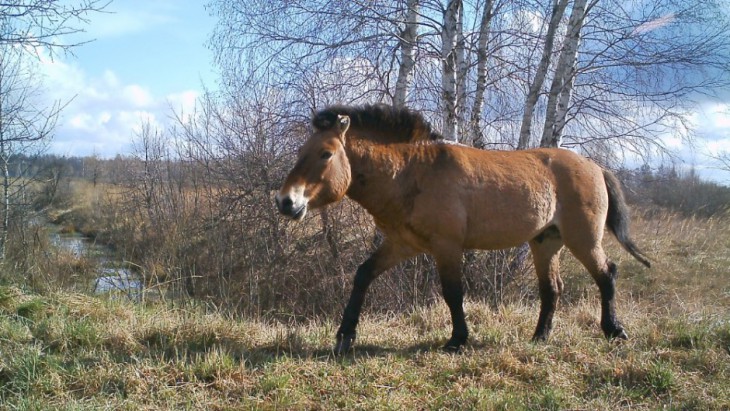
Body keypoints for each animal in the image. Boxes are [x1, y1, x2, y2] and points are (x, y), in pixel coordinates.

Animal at [274, 103, 648, 354]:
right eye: (302, 150)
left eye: (325, 154)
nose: (286, 202)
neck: (412, 171)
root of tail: (595, 166)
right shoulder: (402, 244)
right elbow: (363, 275)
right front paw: (345, 336)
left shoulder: (447, 246)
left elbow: (453, 292)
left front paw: (457, 339)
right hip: (545, 243)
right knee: (551, 289)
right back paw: (540, 337)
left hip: (582, 239)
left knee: (607, 274)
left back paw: (614, 330)